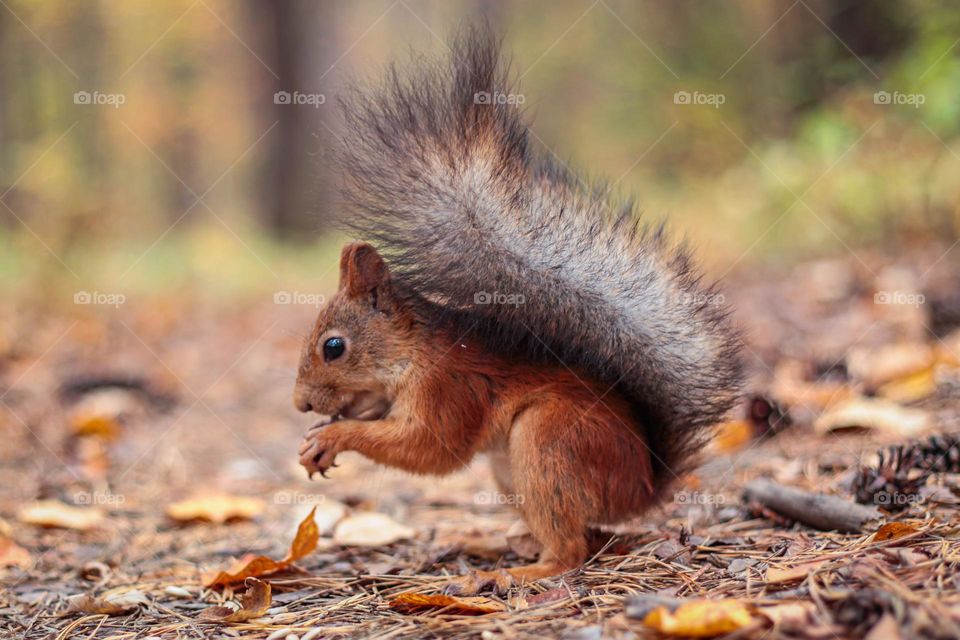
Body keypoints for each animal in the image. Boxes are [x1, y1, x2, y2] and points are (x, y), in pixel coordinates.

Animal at [293, 26, 743, 594]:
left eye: (333, 347)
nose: (301, 404)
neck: (411, 350)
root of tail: (641, 488)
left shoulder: (449, 388)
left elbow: (430, 448)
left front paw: (334, 434)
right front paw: (322, 435)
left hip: (547, 440)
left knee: (572, 549)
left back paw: (519, 571)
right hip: (511, 472)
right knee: (582, 534)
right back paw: (487, 542)